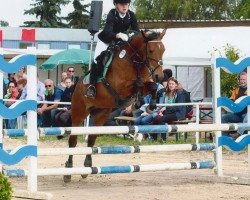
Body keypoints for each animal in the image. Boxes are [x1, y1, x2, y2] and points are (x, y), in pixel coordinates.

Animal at [64, 29, 166, 183]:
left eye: (163, 50)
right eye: (151, 50)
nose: (160, 76)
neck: (134, 61)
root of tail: (77, 85)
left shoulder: (146, 83)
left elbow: (152, 86)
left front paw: (149, 105)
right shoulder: (121, 88)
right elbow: (138, 84)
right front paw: (139, 101)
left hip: (101, 114)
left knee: (91, 140)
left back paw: (87, 167)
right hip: (79, 112)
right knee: (73, 140)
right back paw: (68, 171)